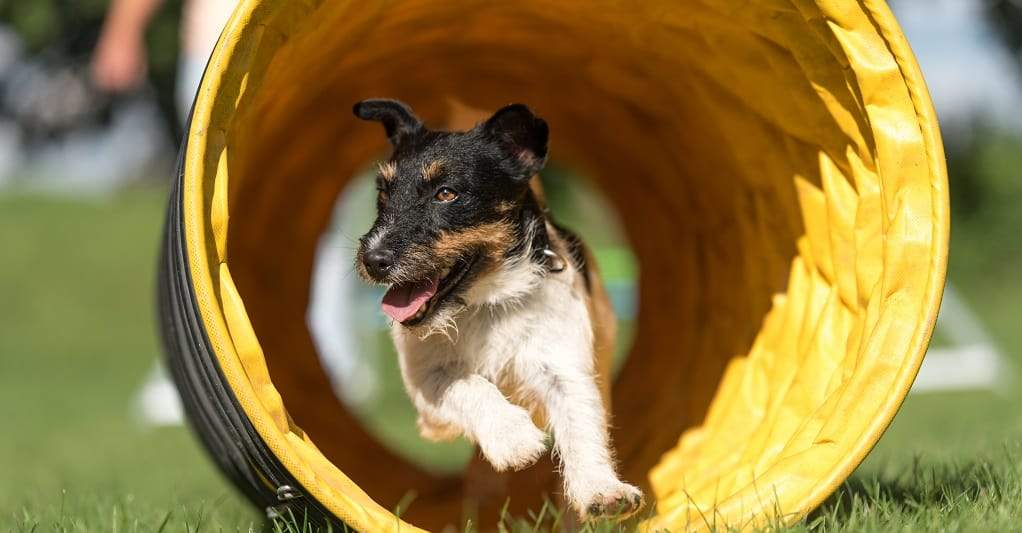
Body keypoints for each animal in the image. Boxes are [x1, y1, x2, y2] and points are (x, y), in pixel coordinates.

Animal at [351, 97, 637, 516]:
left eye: (447, 193)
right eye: (383, 194)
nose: (373, 260)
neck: (487, 302)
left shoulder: (563, 365)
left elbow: (580, 422)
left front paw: (600, 490)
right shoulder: (427, 383)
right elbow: (467, 384)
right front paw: (514, 439)